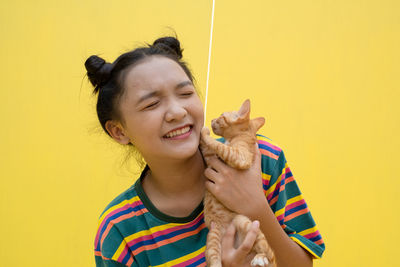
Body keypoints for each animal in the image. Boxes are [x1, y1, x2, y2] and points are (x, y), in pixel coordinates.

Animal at [199, 99, 276, 266]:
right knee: (214, 260)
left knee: (271, 255)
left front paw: (204, 131)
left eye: (221, 116)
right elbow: (211, 148)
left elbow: (219, 146)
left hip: (245, 222)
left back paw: (260, 258)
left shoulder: (240, 157)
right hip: (212, 237)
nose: (212, 120)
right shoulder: (211, 158)